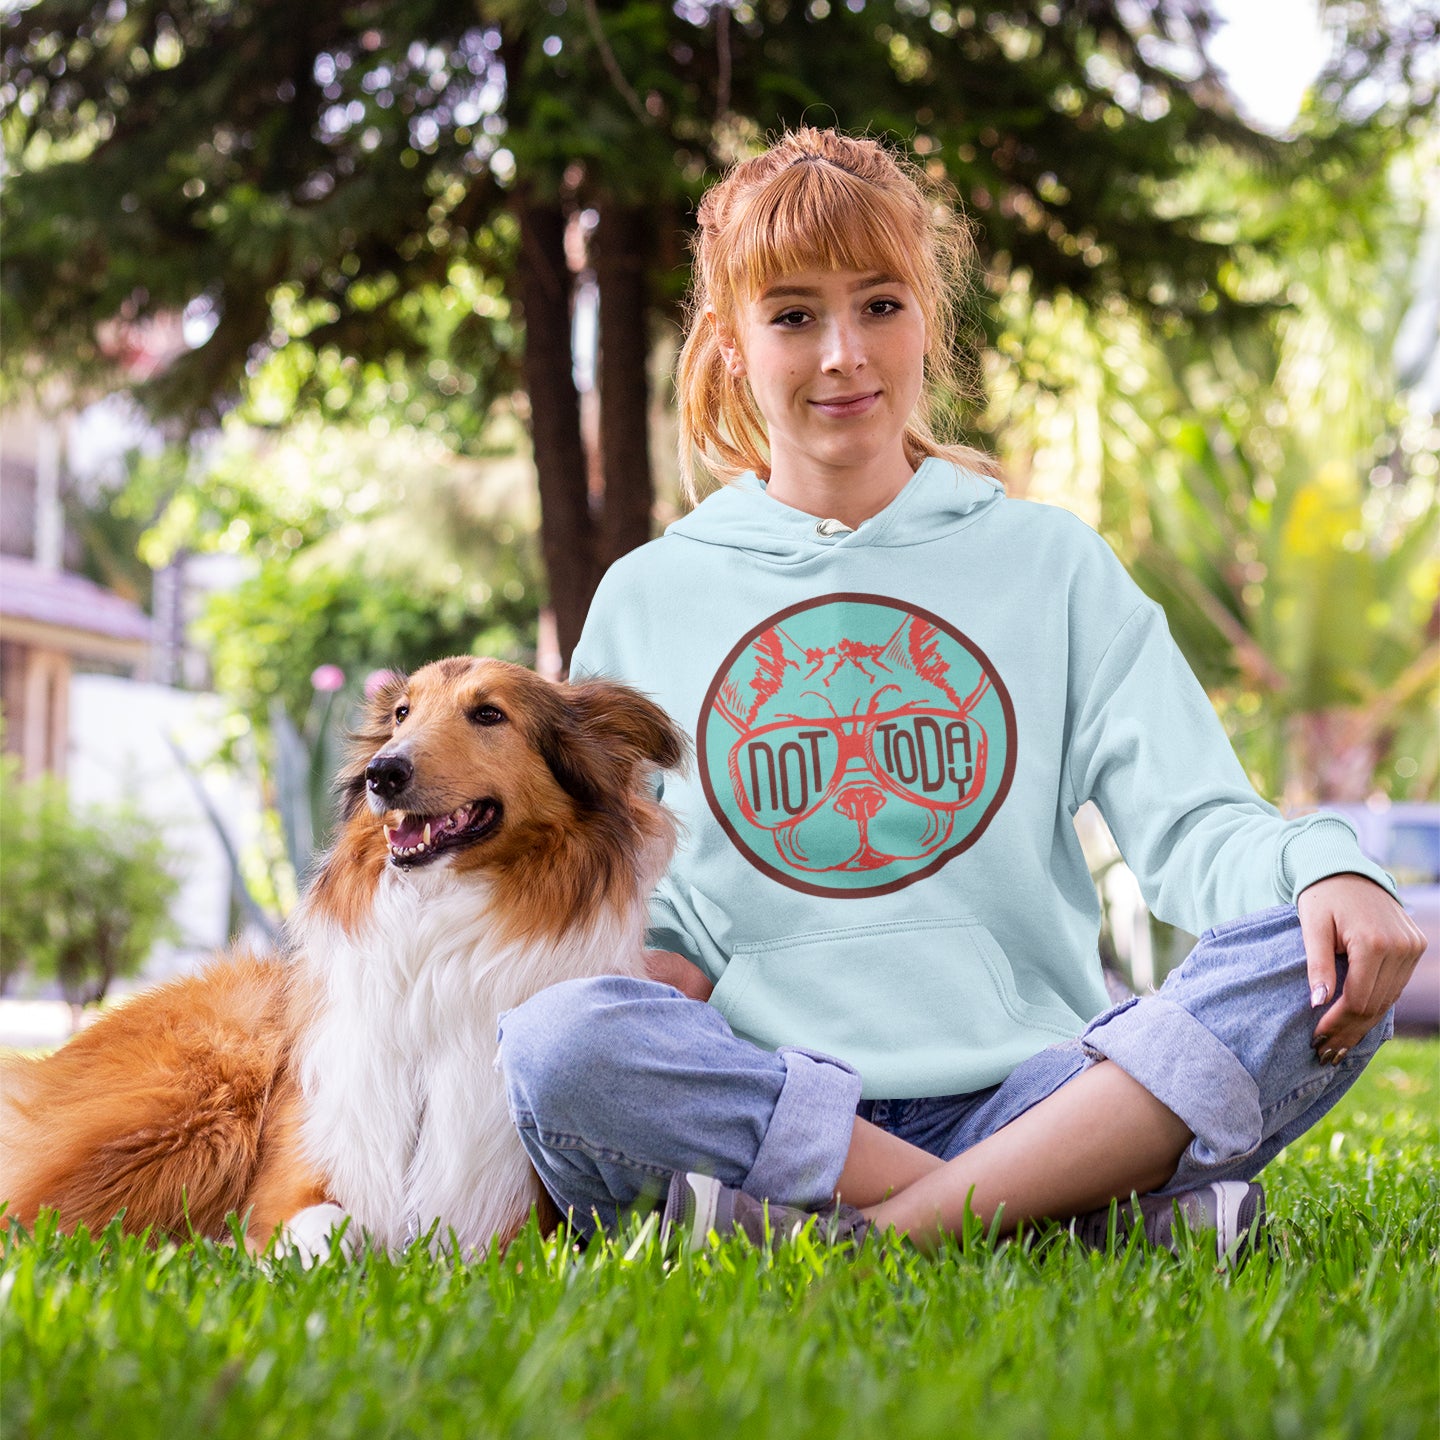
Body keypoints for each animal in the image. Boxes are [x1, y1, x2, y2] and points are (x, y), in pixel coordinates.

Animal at [0, 659, 685, 1255]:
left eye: (489, 714)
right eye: (403, 712)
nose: (383, 772)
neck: (432, 950)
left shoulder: (515, 1226)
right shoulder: (298, 1174)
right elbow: (334, 1225)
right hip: (205, 1095)